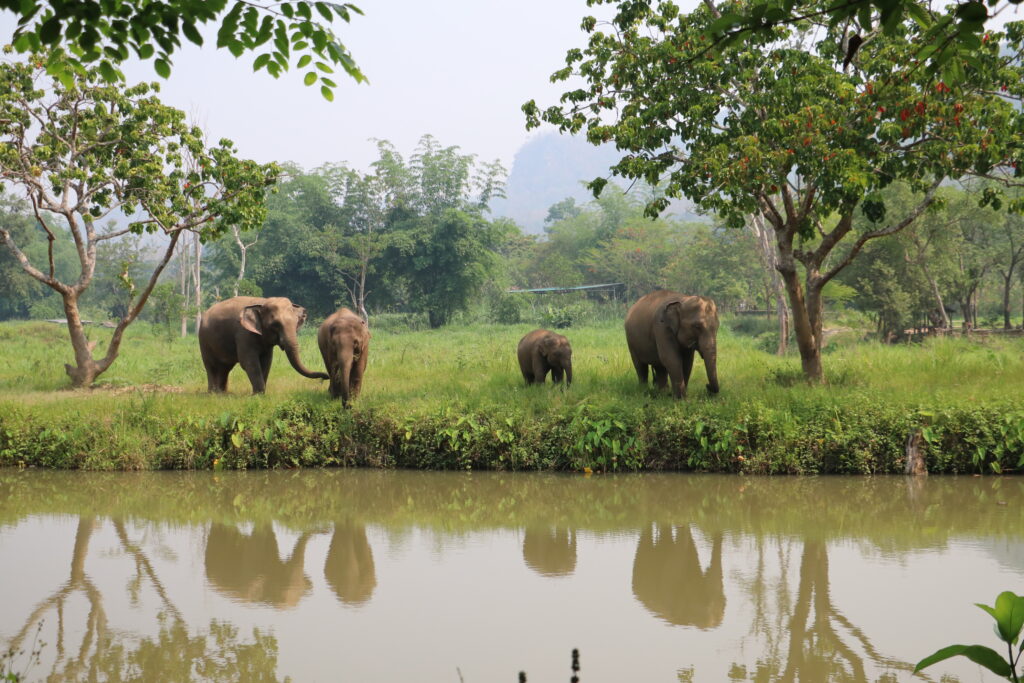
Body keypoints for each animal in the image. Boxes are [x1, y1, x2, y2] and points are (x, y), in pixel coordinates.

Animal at [198, 296, 329, 394]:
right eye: (275, 324)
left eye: (296, 323)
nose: (325, 377)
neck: (262, 301)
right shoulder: (243, 333)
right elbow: (249, 362)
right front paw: (258, 394)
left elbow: (266, 361)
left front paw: (262, 393)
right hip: (204, 340)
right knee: (211, 365)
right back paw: (213, 393)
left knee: (225, 367)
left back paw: (222, 393)